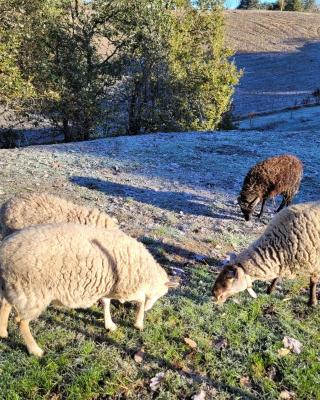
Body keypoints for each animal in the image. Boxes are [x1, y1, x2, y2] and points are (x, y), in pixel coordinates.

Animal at [0, 222, 178, 356]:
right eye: (161, 295)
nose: (149, 308)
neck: (147, 272)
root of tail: (3, 250)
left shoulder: (108, 286)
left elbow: (106, 303)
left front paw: (109, 324)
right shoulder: (126, 287)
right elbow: (140, 300)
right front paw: (139, 322)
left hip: (13, 287)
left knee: (5, 305)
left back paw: (3, 333)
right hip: (32, 293)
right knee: (20, 321)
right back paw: (35, 350)